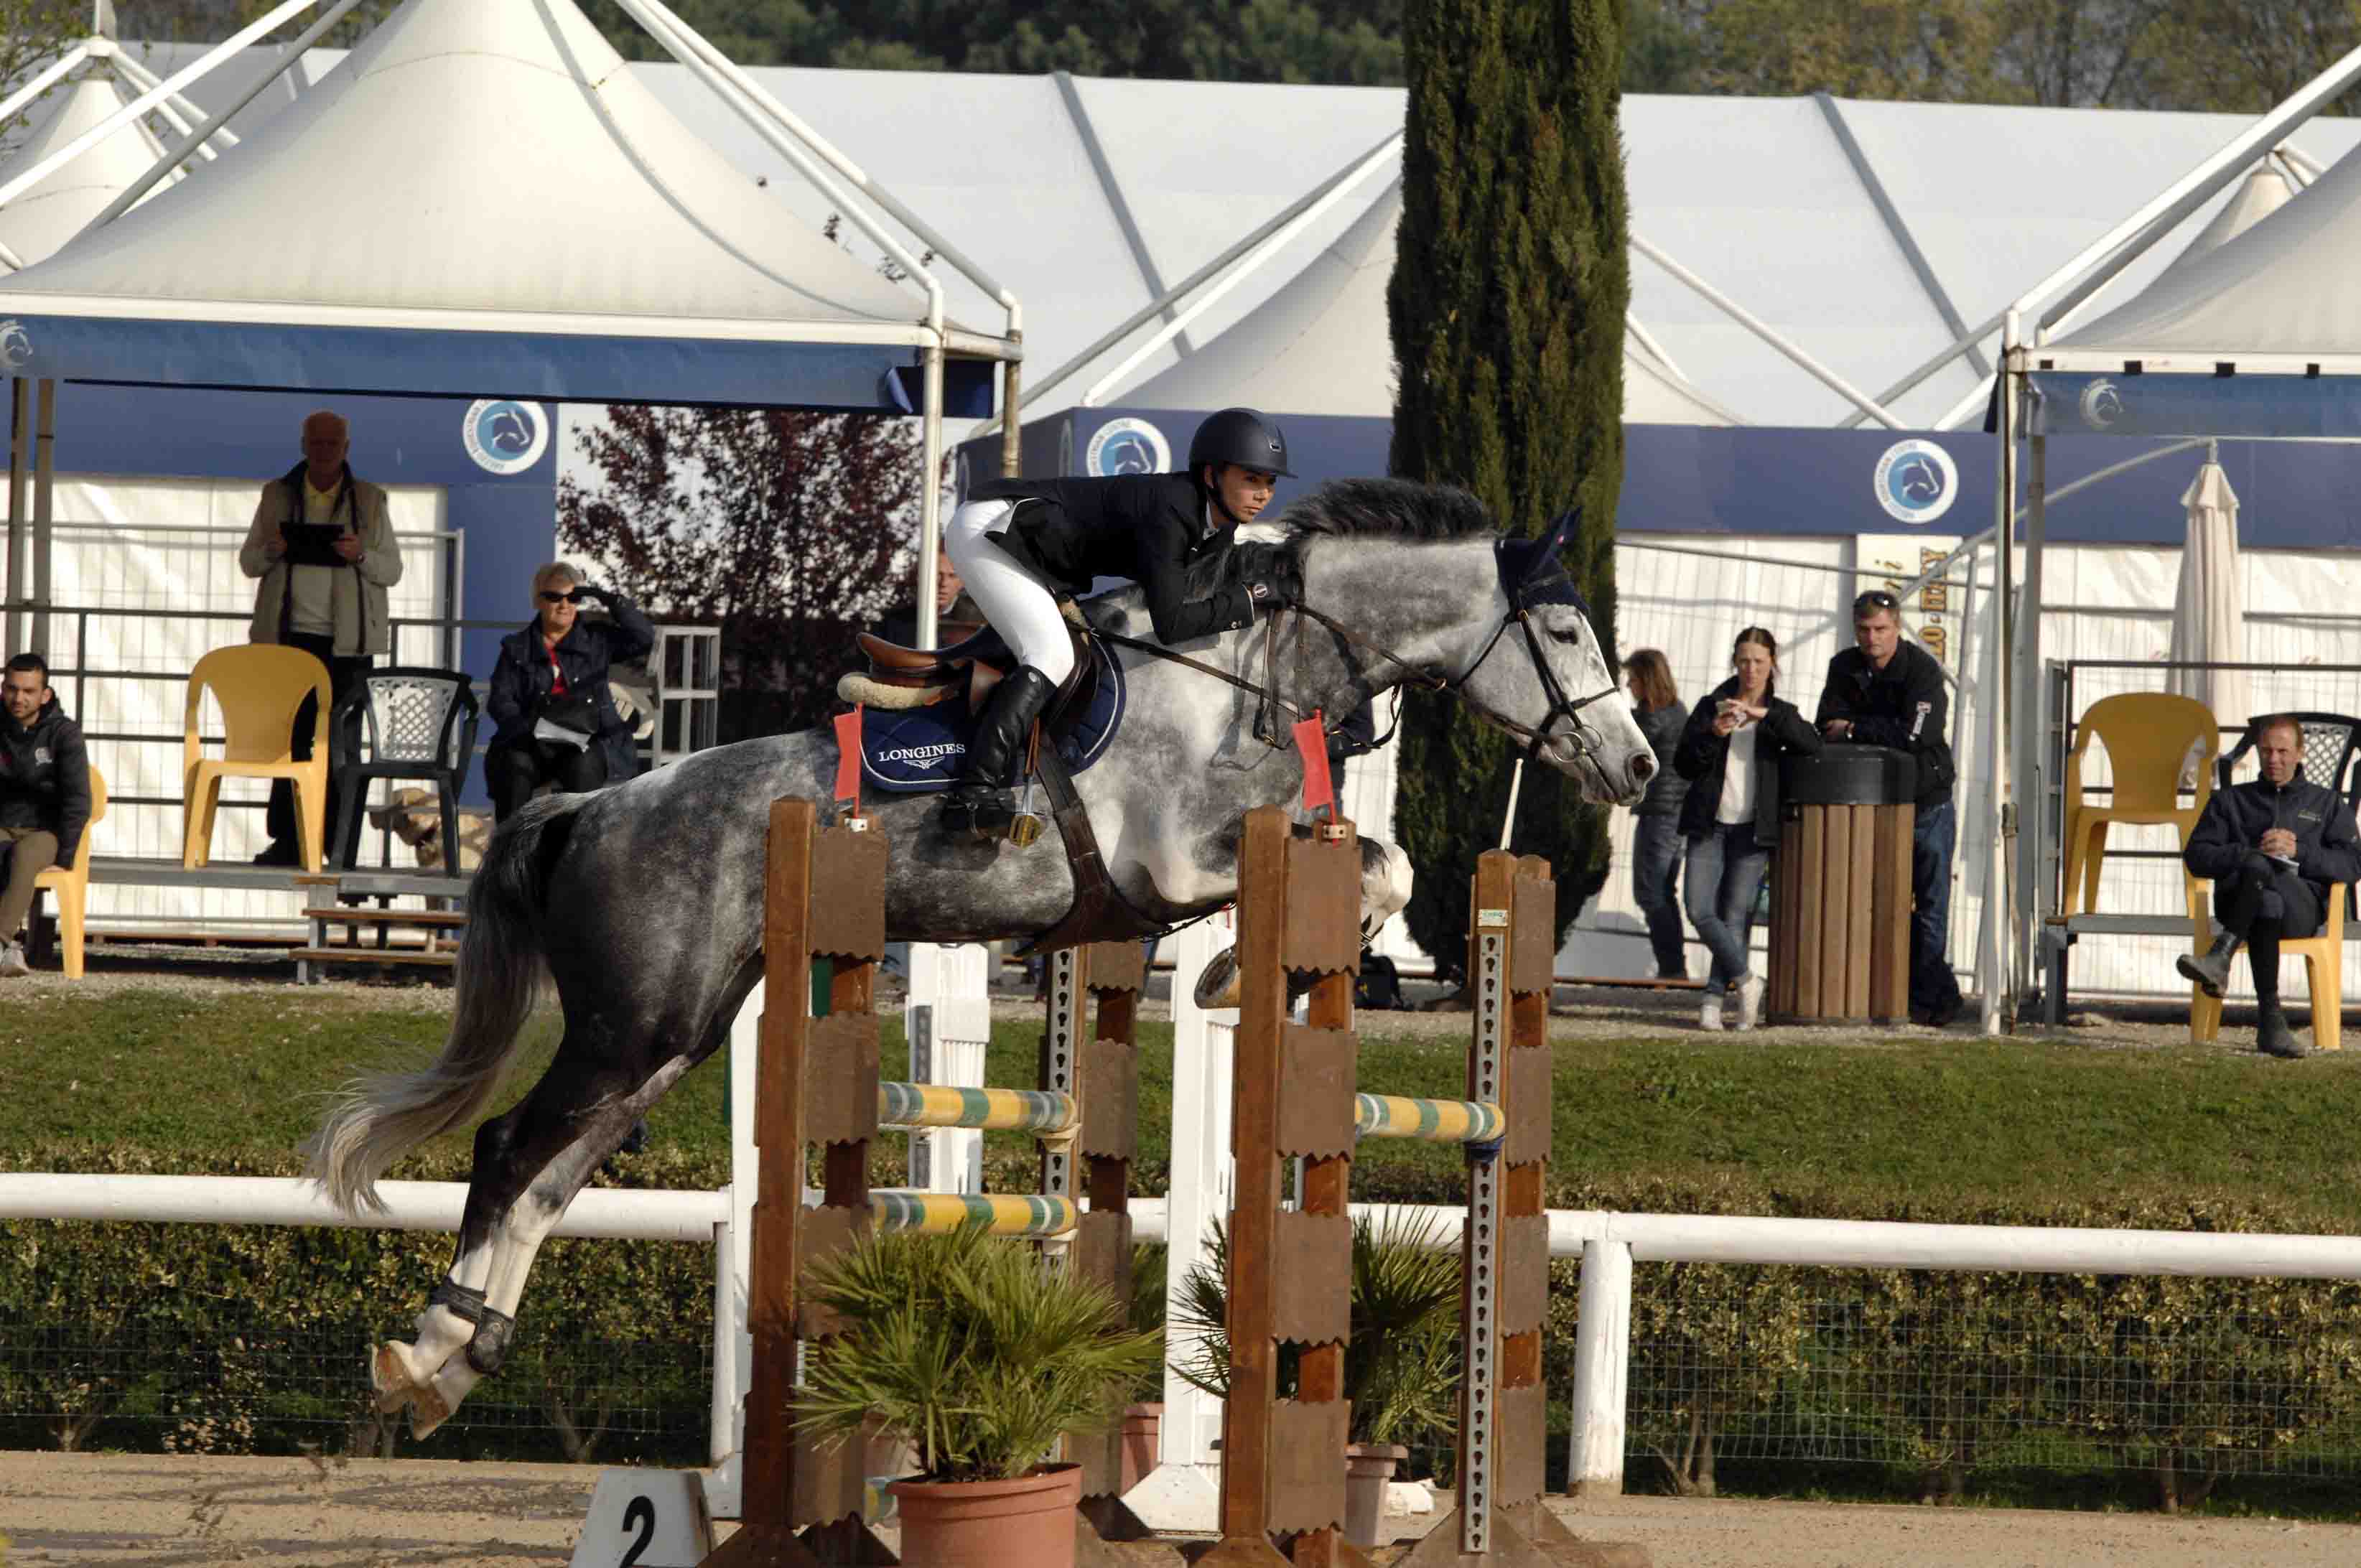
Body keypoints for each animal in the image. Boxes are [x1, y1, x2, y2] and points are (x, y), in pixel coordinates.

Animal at [304, 475, 1652, 1435]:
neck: (1255, 669)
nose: (1638, 767)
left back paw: (454, 1364)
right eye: (1567, 629)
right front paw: (1230, 975)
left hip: (672, 1033)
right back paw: (423, 1351)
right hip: (632, 1022)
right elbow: (1377, 865)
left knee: (547, 1177)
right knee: (506, 1148)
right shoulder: (1174, 862)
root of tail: (588, 804)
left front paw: (1265, 969)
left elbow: (1384, 864)